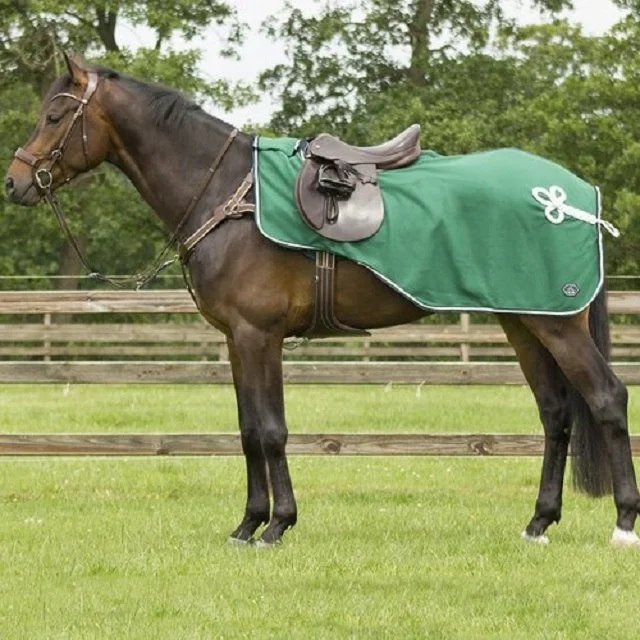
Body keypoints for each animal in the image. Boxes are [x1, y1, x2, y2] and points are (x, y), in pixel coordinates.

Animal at [5, 54, 640, 547]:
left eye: (55, 115)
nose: (14, 183)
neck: (228, 194)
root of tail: (573, 195)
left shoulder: (259, 335)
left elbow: (270, 429)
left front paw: (275, 526)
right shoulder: (237, 340)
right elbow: (246, 429)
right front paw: (247, 524)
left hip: (556, 324)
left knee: (607, 398)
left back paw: (623, 524)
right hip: (525, 322)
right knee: (555, 413)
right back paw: (538, 523)